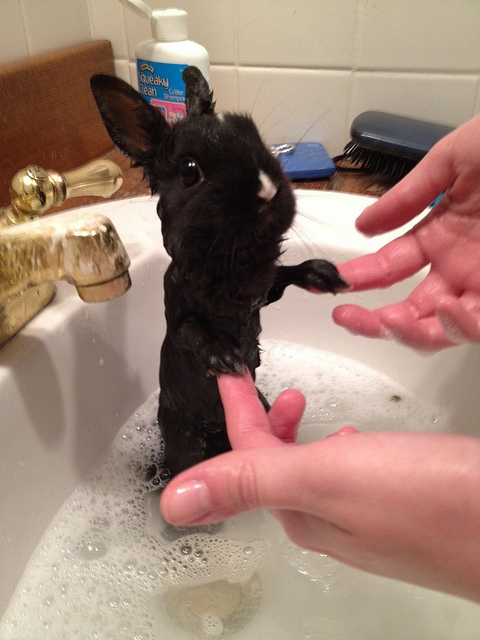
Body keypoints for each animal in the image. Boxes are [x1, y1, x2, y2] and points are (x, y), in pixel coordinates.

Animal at [91, 69, 348, 480]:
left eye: (255, 137)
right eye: (189, 171)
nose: (267, 190)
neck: (231, 263)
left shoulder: (263, 294)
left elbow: (285, 275)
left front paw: (325, 275)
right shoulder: (180, 314)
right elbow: (192, 330)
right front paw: (224, 357)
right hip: (183, 441)